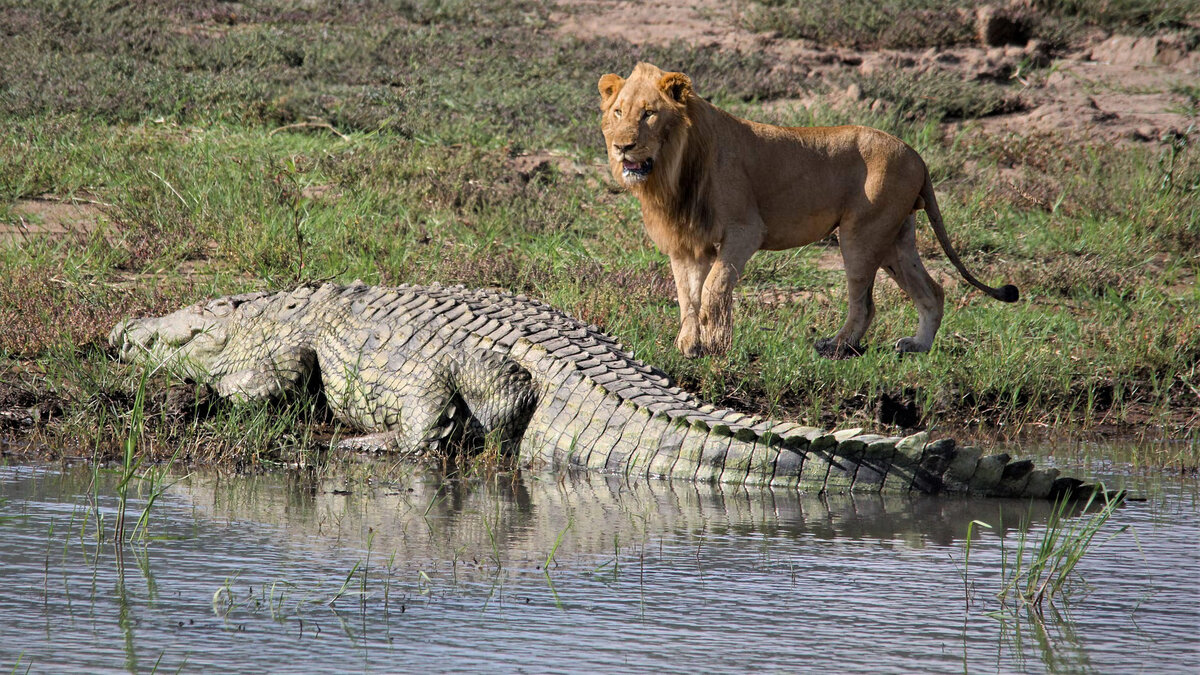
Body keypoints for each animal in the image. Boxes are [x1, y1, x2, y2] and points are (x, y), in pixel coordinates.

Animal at [595, 60, 1017, 360]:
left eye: (649, 113)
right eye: (618, 112)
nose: (623, 147)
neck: (671, 172)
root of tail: (916, 154)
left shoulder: (745, 230)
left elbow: (715, 287)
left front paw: (715, 343)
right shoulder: (686, 242)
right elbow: (687, 295)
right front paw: (688, 345)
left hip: (862, 234)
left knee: (865, 304)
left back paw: (836, 346)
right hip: (896, 239)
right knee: (933, 291)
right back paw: (918, 346)